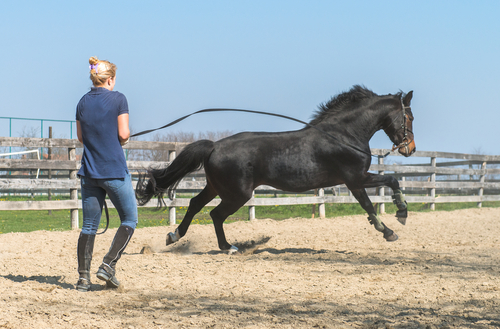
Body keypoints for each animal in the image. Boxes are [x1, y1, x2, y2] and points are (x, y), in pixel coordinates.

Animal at [135, 86, 416, 252]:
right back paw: (228, 247)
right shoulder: (355, 179)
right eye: (409, 117)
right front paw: (394, 224)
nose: (410, 149)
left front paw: (395, 221)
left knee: (195, 205)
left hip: (217, 187)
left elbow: (381, 193)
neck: (343, 134)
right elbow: (381, 193)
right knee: (215, 214)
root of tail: (214, 146)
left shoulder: (355, 181)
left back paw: (173, 236)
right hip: (237, 194)